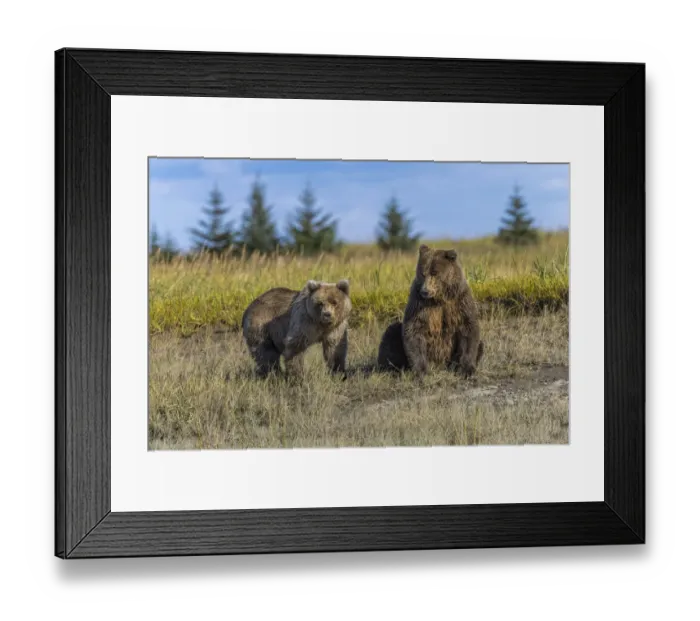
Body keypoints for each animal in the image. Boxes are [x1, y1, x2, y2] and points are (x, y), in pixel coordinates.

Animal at [377, 245, 484, 377]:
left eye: (435, 273)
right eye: (423, 273)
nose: (425, 291)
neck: (439, 298)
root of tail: (440, 366)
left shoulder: (459, 301)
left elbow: (468, 330)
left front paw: (467, 369)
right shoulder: (419, 303)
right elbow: (414, 330)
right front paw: (421, 370)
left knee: (481, 345)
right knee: (391, 333)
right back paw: (391, 369)